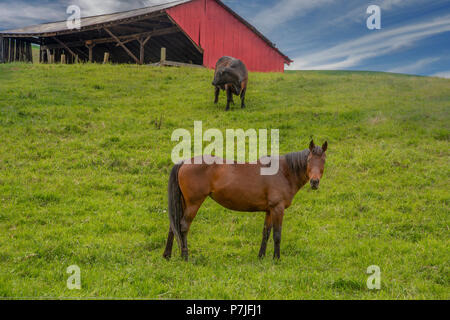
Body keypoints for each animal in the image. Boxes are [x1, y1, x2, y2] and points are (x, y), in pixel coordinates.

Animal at [163, 140, 326, 260]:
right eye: (309, 160)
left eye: (323, 160)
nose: (314, 182)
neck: (283, 172)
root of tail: (184, 162)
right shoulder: (277, 209)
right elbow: (277, 235)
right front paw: (276, 259)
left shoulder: (269, 210)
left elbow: (266, 233)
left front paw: (261, 256)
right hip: (193, 203)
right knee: (183, 226)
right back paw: (185, 256)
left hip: (183, 203)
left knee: (173, 225)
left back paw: (167, 255)